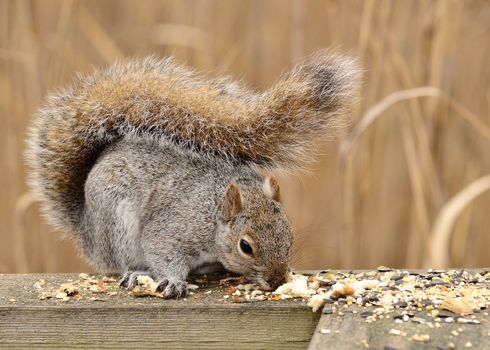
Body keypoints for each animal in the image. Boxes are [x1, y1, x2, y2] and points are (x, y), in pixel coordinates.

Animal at [25, 51, 360, 298]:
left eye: (288, 234)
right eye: (246, 246)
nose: (277, 280)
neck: (214, 216)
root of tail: (86, 231)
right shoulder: (174, 228)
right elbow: (161, 248)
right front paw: (174, 281)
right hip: (115, 223)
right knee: (120, 261)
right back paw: (136, 272)